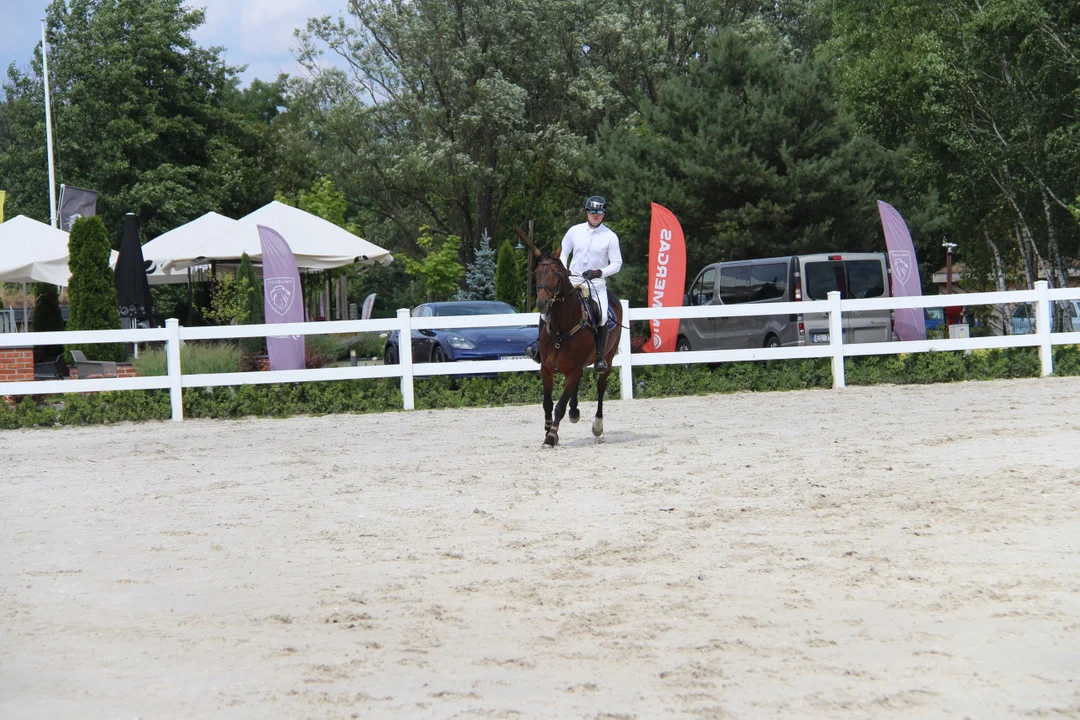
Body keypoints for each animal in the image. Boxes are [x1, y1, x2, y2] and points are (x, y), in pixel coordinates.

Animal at [533, 250, 626, 446]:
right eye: (537, 272)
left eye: (556, 273)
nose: (542, 303)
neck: (562, 326)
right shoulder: (546, 368)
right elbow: (547, 403)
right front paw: (549, 432)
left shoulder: (574, 370)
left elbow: (560, 406)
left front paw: (551, 437)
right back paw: (574, 411)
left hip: (607, 359)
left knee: (600, 388)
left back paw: (597, 426)